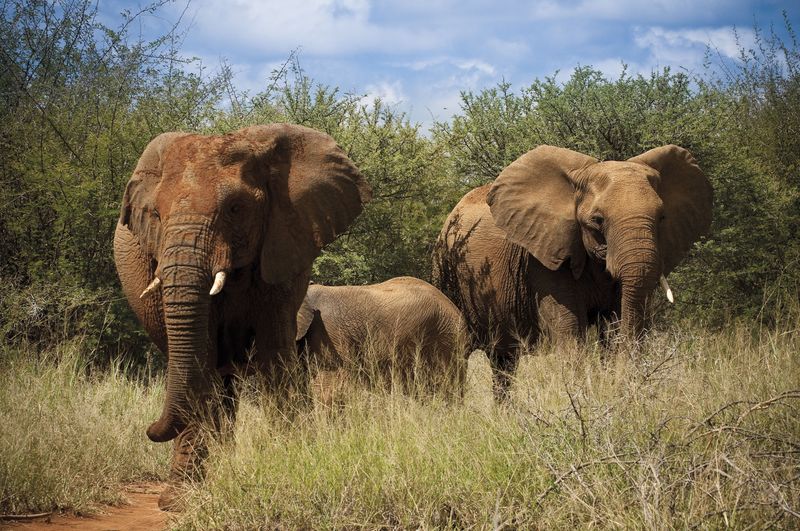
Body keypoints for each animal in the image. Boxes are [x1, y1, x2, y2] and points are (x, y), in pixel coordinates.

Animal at [113, 123, 371, 509]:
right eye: (155, 214)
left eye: (236, 208)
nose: (149, 429)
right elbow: (201, 359)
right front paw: (180, 501)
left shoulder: (286, 239)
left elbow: (275, 353)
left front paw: (288, 472)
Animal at [432, 144, 712, 398]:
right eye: (597, 220)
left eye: (662, 217)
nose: (623, 386)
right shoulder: (543, 258)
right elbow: (570, 330)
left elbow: (613, 325)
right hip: (448, 274)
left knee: (503, 361)